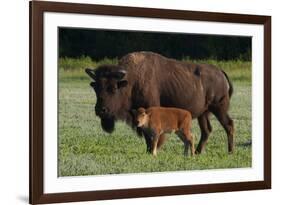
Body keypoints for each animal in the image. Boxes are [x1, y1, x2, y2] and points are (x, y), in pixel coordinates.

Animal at [85, 51, 234, 154]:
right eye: (96, 87)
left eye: (113, 88)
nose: (100, 110)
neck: (131, 82)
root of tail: (221, 73)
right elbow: (146, 135)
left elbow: (152, 136)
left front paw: (152, 151)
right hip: (204, 113)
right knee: (206, 130)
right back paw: (197, 152)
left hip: (219, 108)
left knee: (229, 125)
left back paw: (230, 152)